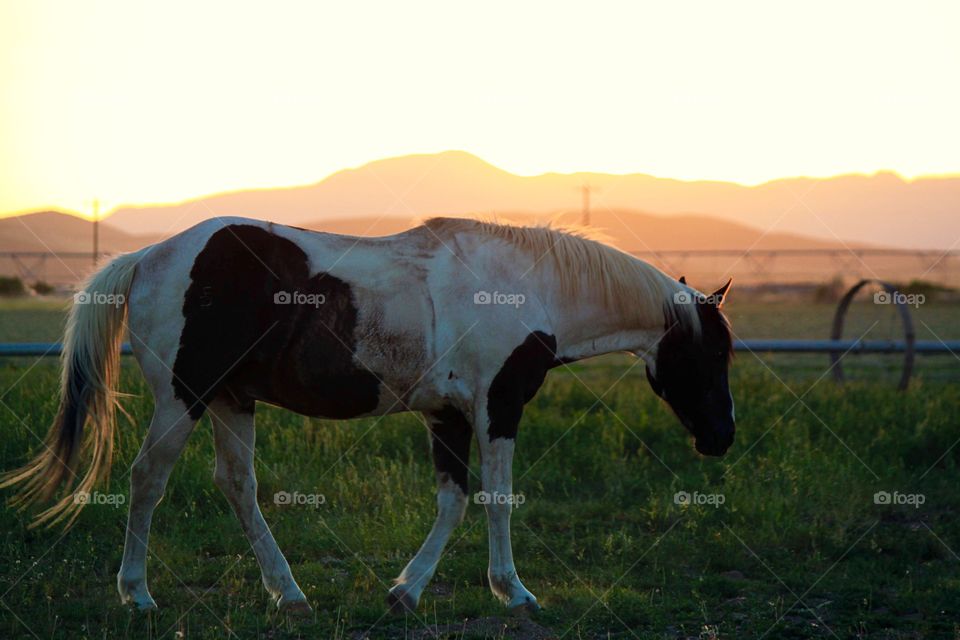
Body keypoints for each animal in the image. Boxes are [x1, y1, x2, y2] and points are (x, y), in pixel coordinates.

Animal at [0, 216, 736, 616]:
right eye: (712, 353)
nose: (722, 438)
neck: (526, 287)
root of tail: (148, 258)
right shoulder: (496, 406)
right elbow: (496, 499)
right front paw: (514, 593)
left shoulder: (448, 415)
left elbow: (454, 501)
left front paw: (406, 591)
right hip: (185, 397)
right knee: (148, 479)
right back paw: (138, 594)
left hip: (233, 401)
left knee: (236, 487)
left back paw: (288, 594)